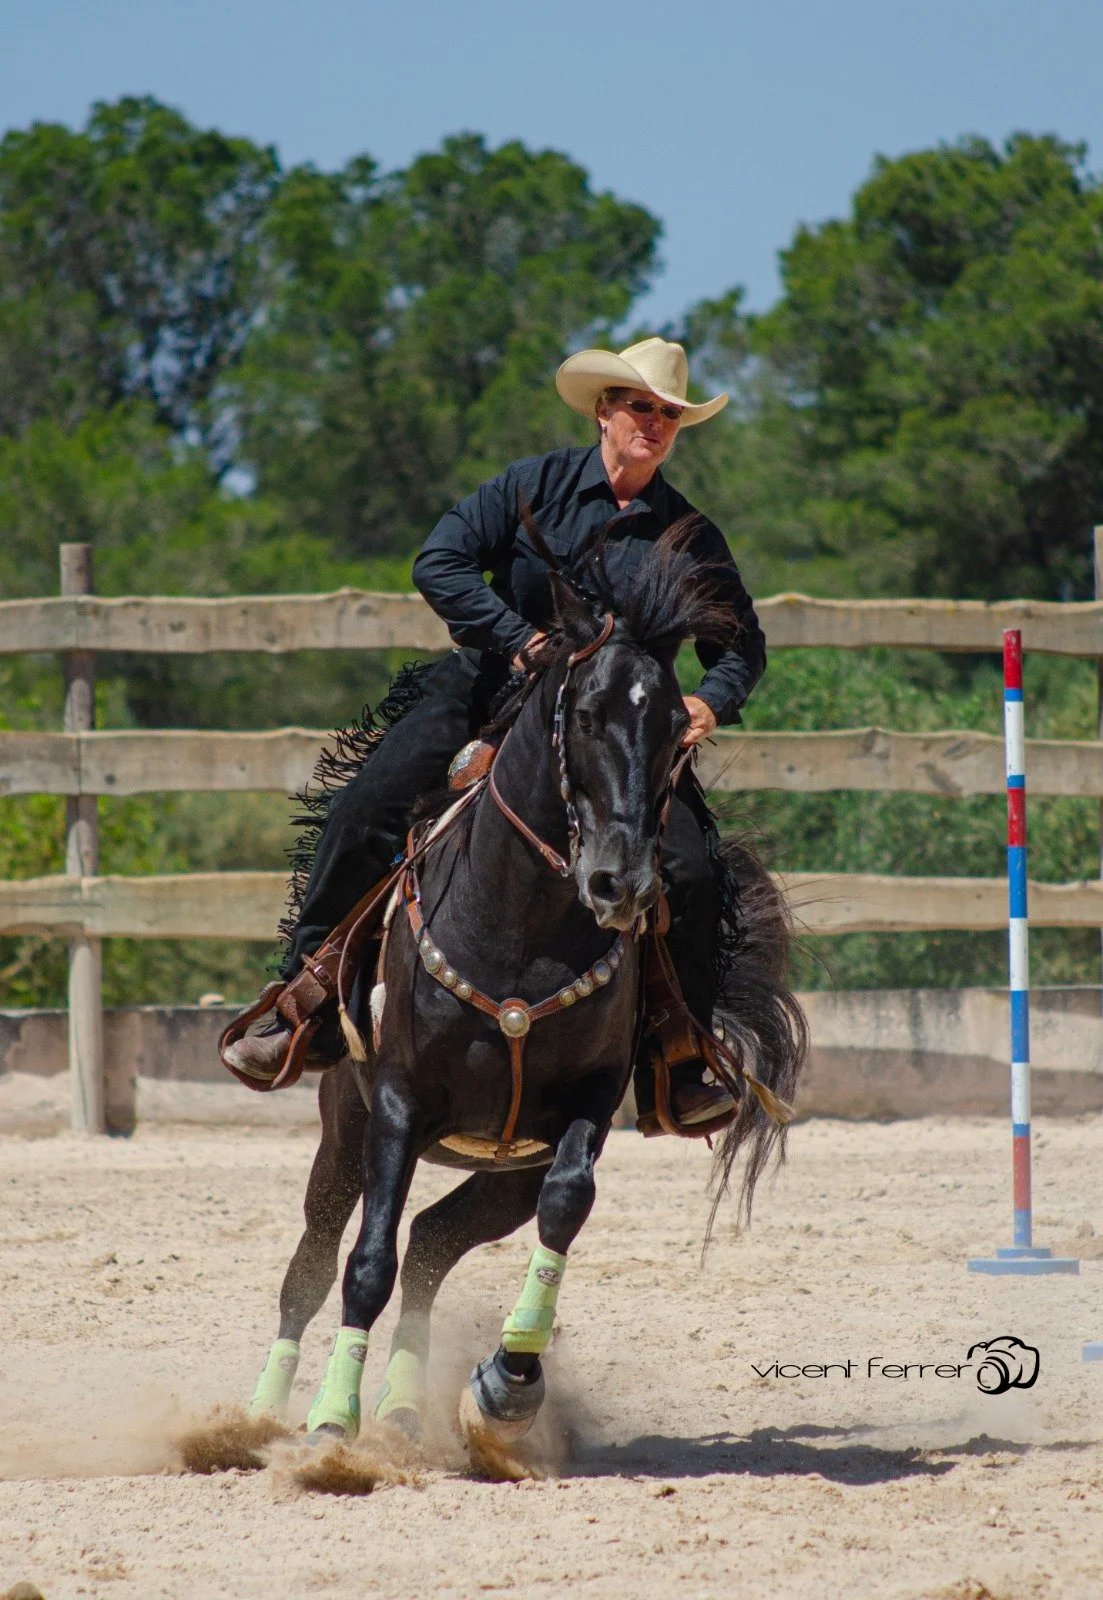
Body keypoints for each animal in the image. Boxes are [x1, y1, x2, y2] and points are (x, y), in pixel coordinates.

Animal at [244, 524, 807, 1453]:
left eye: (672, 728)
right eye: (583, 715)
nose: (620, 880)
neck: (518, 933)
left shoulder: (585, 1104)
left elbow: (564, 1209)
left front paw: (508, 1381)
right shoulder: (396, 1102)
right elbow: (365, 1265)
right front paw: (330, 1421)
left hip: (501, 1168)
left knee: (433, 1245)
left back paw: (403, 1409)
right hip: (343, 1126)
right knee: (315, 1263)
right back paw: (259, 1413)